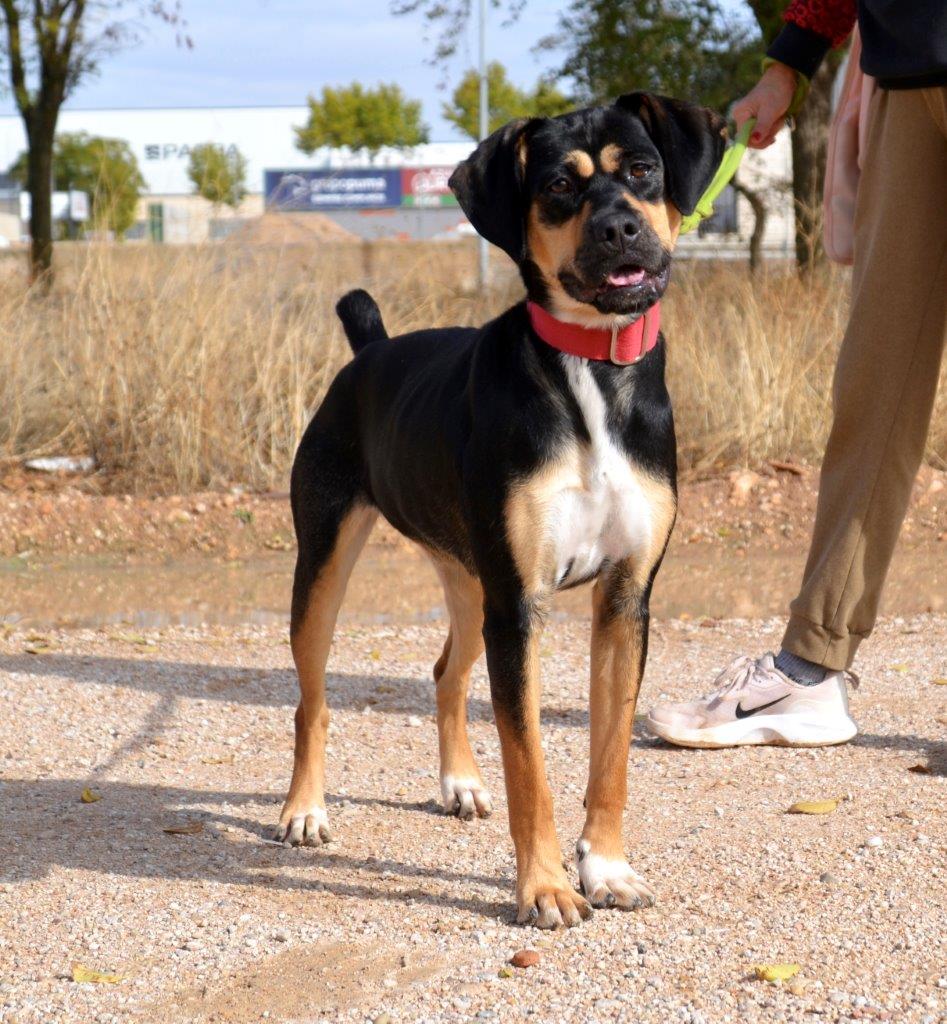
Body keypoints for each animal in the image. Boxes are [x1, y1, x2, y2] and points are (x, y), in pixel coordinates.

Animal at [274, 94, 724, 929]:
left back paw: (458, 783)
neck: (590, 367)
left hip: (467, 579)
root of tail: (369, 351)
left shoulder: (623, 600)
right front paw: (544, 886)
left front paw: (605, 867)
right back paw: (305, 810)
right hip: (324, 568)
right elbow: (530, 766)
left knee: (446, 673)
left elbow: (610, 758)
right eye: (558, 186)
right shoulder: (519, 606)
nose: (618, 229)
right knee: (311, 704)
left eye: (642, 169)